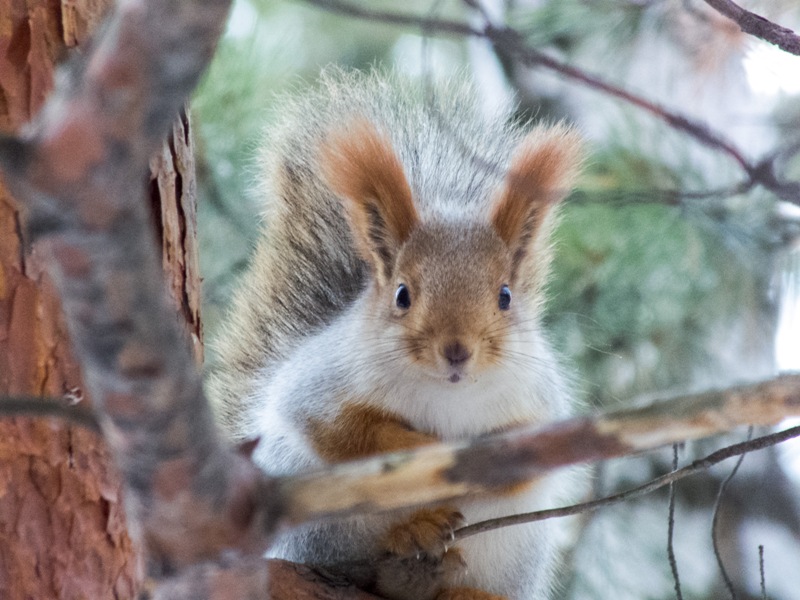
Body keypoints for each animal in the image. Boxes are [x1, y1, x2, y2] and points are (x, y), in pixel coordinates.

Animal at [209, 71, 584, 600]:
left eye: (506, 295)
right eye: (403, 294)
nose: (456, 351)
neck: (448, 395)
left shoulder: (539, 400)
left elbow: (531, 465)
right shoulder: (323, 384)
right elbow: (341, 430)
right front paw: (423, 451)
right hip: (316, 522)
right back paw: (410, 546)